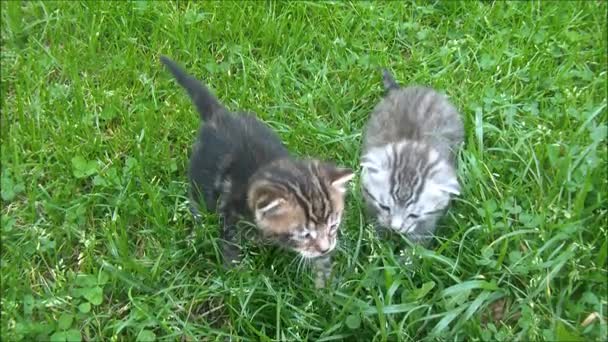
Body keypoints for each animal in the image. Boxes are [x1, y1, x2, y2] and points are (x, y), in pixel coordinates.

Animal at [159, 55, 354, 286]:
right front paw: (236, 276)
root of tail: (220, 115)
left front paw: (324, 282)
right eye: (305, 234)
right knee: (198, 201)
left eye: (333, 226)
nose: (326, 247)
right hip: (201, 177)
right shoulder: (230, 215)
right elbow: (230, 246)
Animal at [360, 69, 466, 243]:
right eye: (385, 207)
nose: (395, 228)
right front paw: (376, 237)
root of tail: (403, 90)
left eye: (414, 215)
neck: (412, 152)